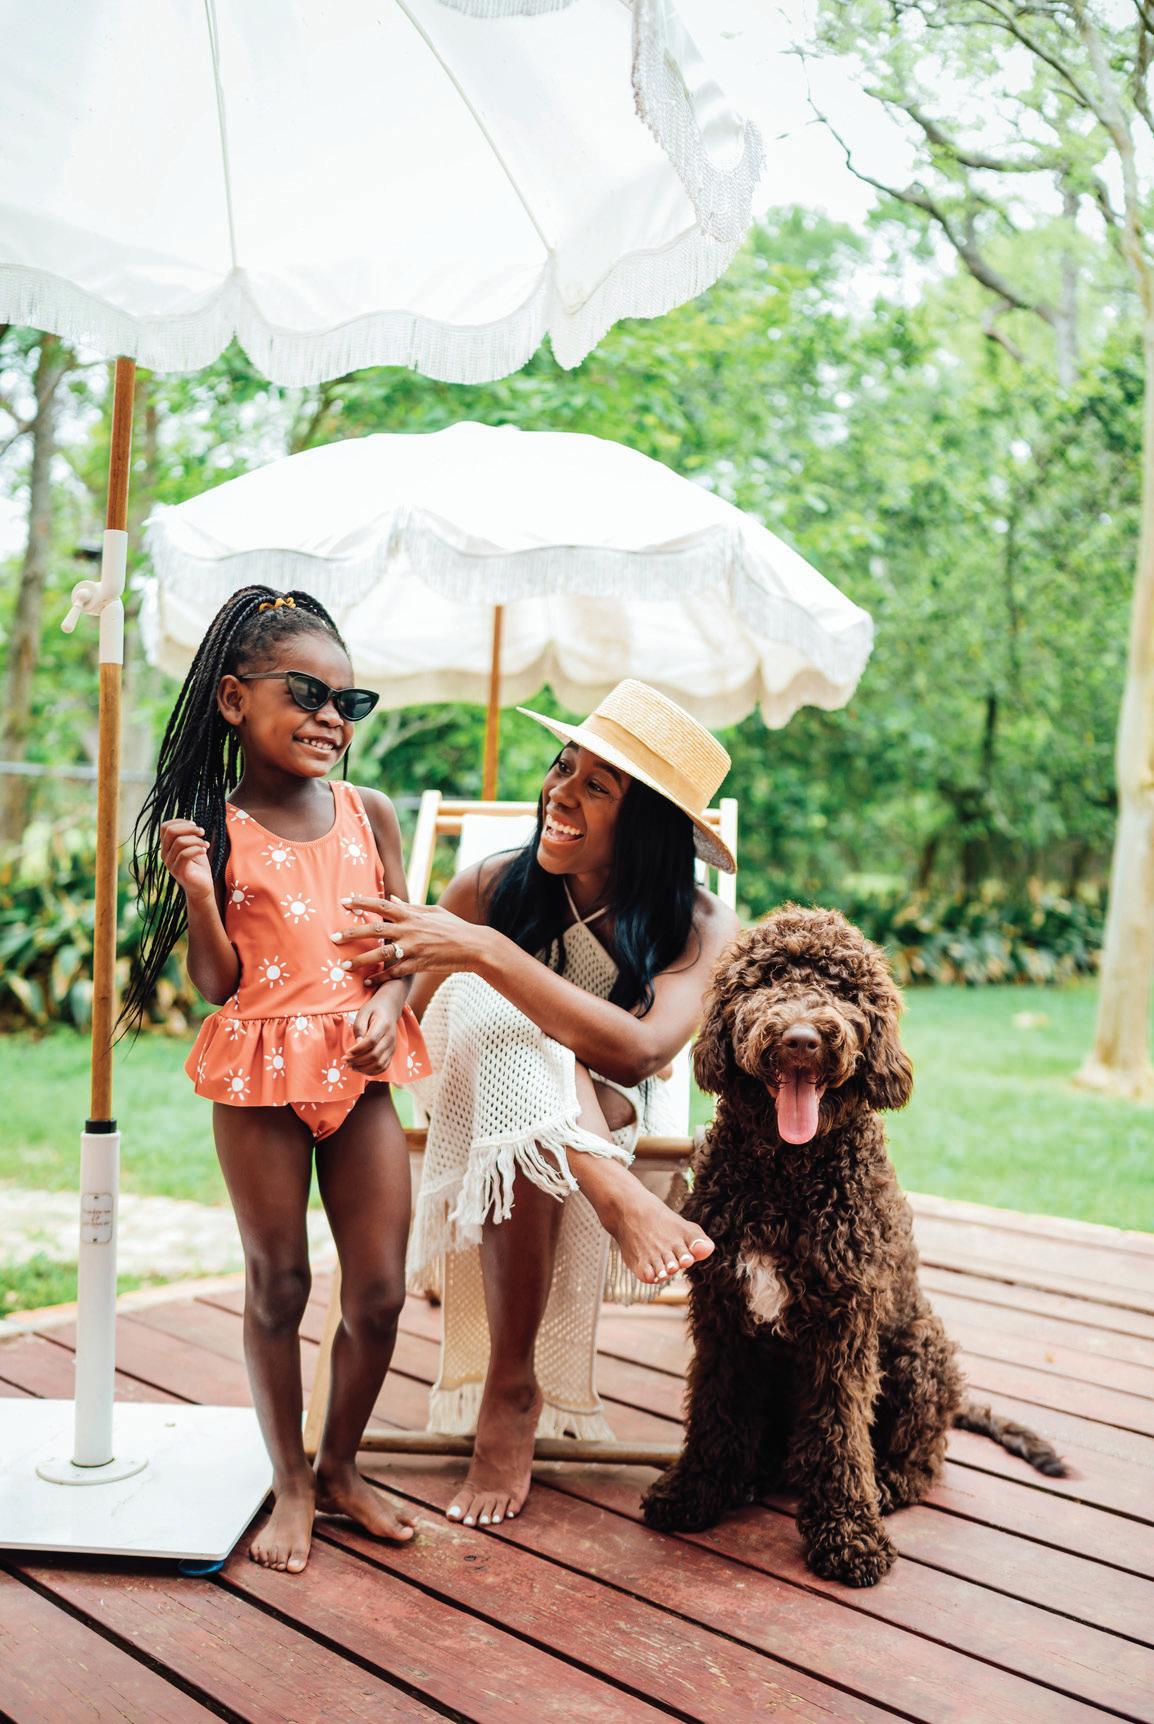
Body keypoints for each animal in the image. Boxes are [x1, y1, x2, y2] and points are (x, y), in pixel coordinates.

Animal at [642, 906, 1066, 1588]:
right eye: (768, 980)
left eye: (842, 990)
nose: (802, 1038)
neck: (786, 1178)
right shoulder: (723, 1317)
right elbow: (715, 1407)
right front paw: (697, 1489)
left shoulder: (842, 1328)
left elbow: (839, 1433)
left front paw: (848, 1534)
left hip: (921, 1349)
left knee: (924, 1457)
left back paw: (886, 1483)